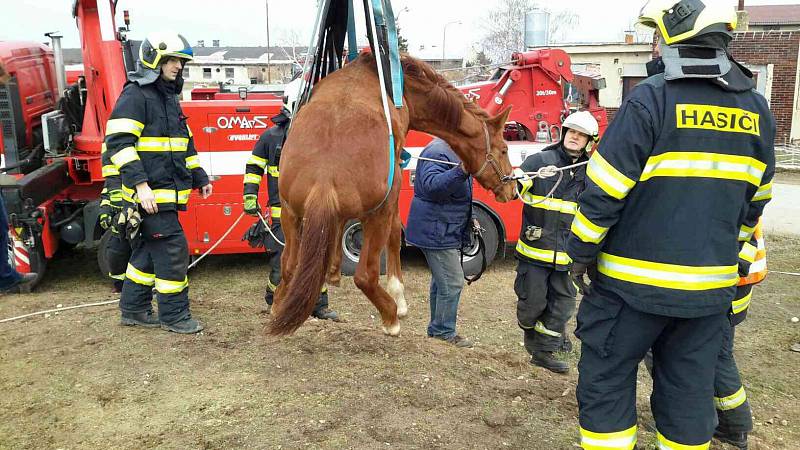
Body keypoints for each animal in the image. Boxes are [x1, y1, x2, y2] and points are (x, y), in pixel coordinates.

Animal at [270, 51, 520, 334]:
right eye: (504, 149)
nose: (512, 189)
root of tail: (324, 174)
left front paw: (332, 271)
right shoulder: (395, 183)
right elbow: (395, 233)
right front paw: (398, 296)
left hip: (290, 214)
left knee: (289, 265)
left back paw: (278, 303)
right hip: (377, 211)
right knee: (365, 275)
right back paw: (391, 317)